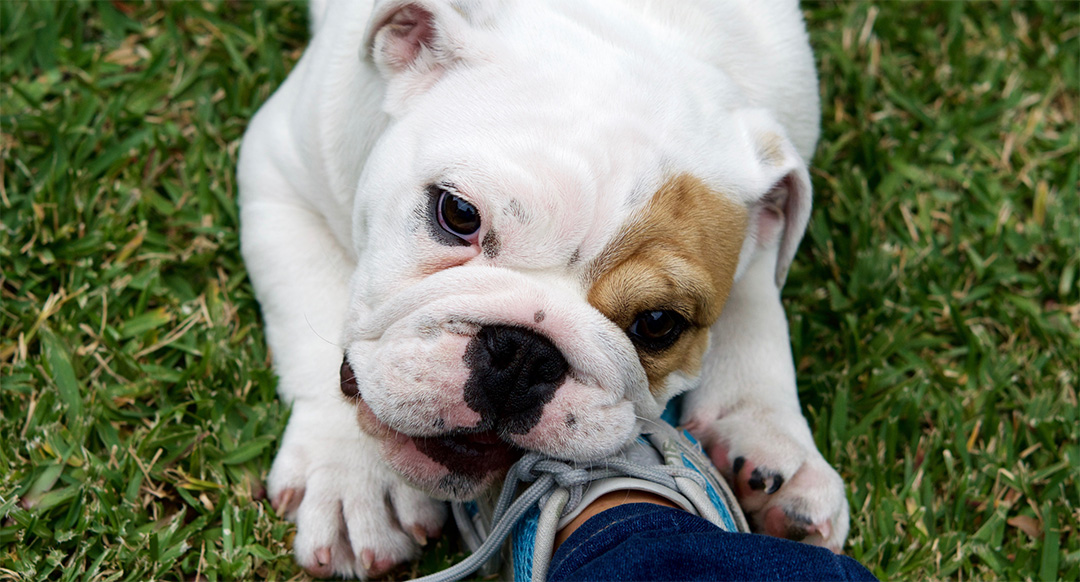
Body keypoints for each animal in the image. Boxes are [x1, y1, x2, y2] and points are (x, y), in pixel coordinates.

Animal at [240, 0, 846, 574]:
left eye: (658, 324)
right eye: (457, 213)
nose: (523, 355)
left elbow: (757, 302)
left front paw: (765, 432)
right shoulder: (278, 174)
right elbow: (315, 303)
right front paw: (351, 480)